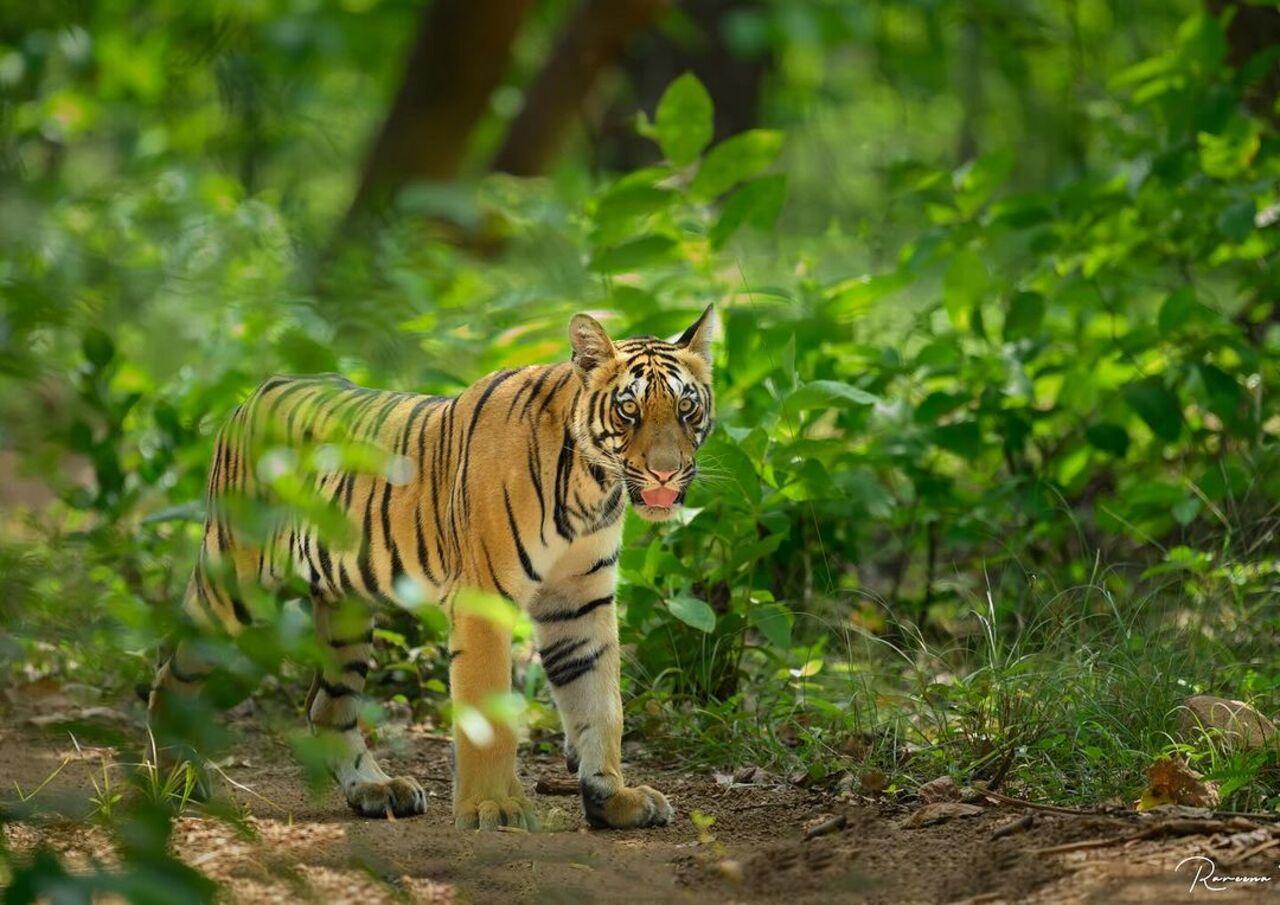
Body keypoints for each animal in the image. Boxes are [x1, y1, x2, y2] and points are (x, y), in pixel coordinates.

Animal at [149, 308, 721, 829]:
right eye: (628, 410)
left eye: (686, 408)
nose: (666, 471)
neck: (592, 487)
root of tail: (258, 392)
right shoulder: (485, 599)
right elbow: (489, 714)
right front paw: (494, 807)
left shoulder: (580, 601)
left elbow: (600, 702)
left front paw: (612, 799)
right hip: (234, 589)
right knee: (170, 670)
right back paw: (176, 777)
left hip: (345, 611)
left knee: (326, 708)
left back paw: (377, 789)